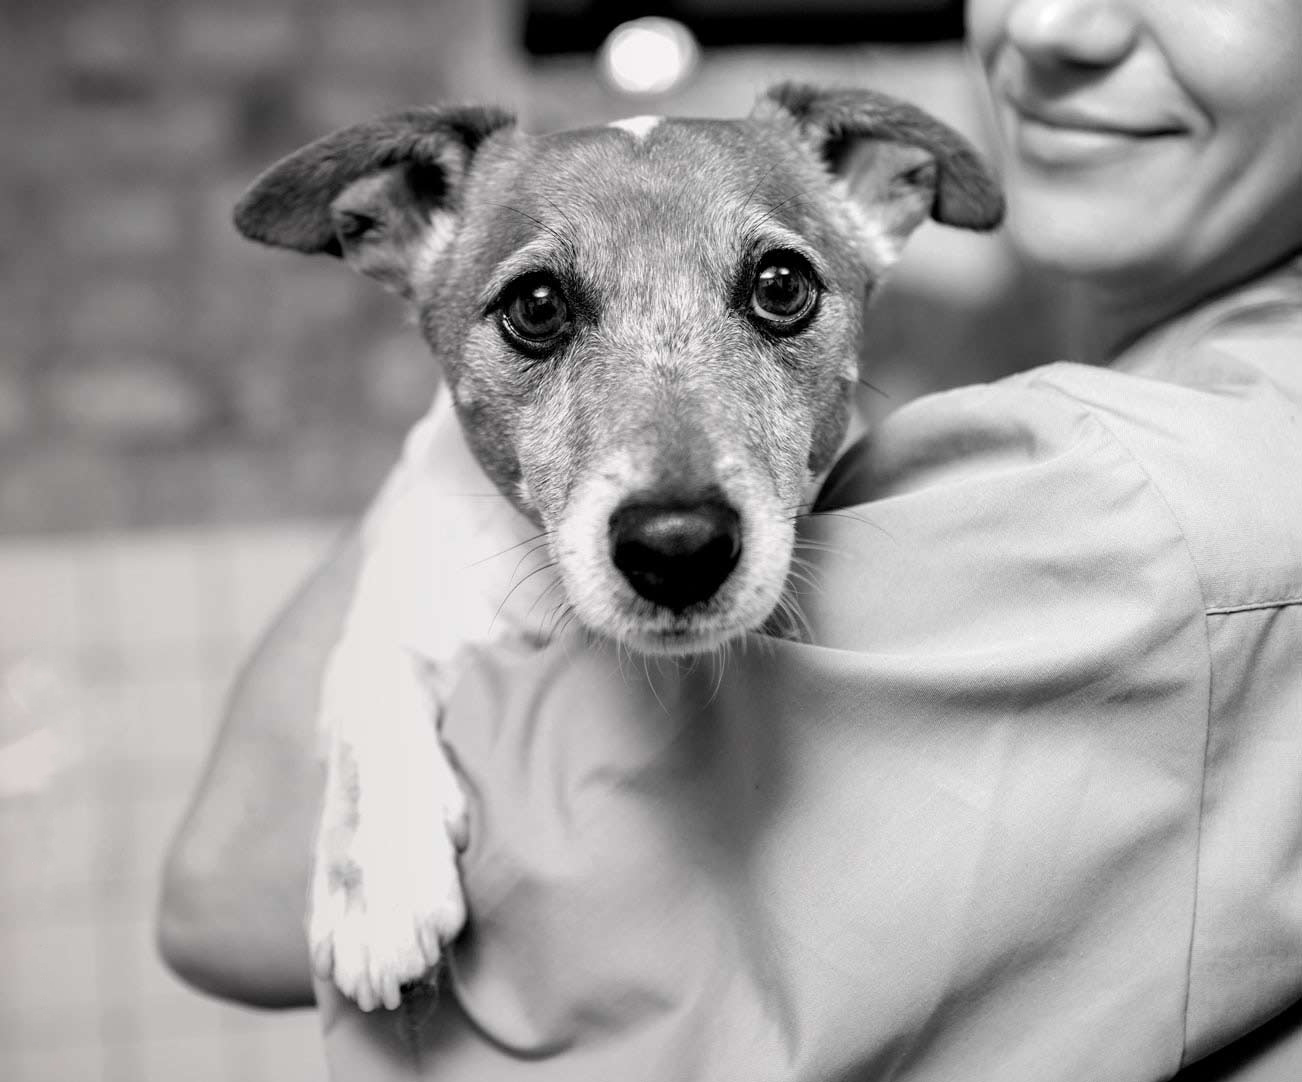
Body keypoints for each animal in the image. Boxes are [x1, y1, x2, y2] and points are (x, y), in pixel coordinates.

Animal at [234, 84, 999, 1015]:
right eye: (535, 305)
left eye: (782, 286)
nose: (678, 546)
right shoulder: (403, 603)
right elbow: (370, 697)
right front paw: (378, 886)